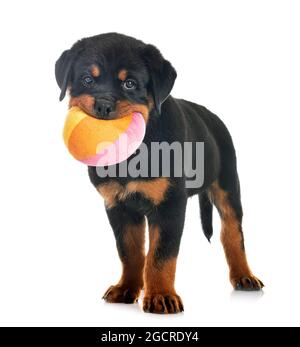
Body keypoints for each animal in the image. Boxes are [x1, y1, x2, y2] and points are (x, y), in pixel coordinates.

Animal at [55, 33, 262, 316]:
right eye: (88, 79)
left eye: (130, 84)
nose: (103, 105)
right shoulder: (118, 206)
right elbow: (130, 252)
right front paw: (126, 288)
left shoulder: (170, 205)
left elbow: (161, 255)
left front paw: (162, 296)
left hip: (228, 183)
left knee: (232, 231)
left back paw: (244, 276)